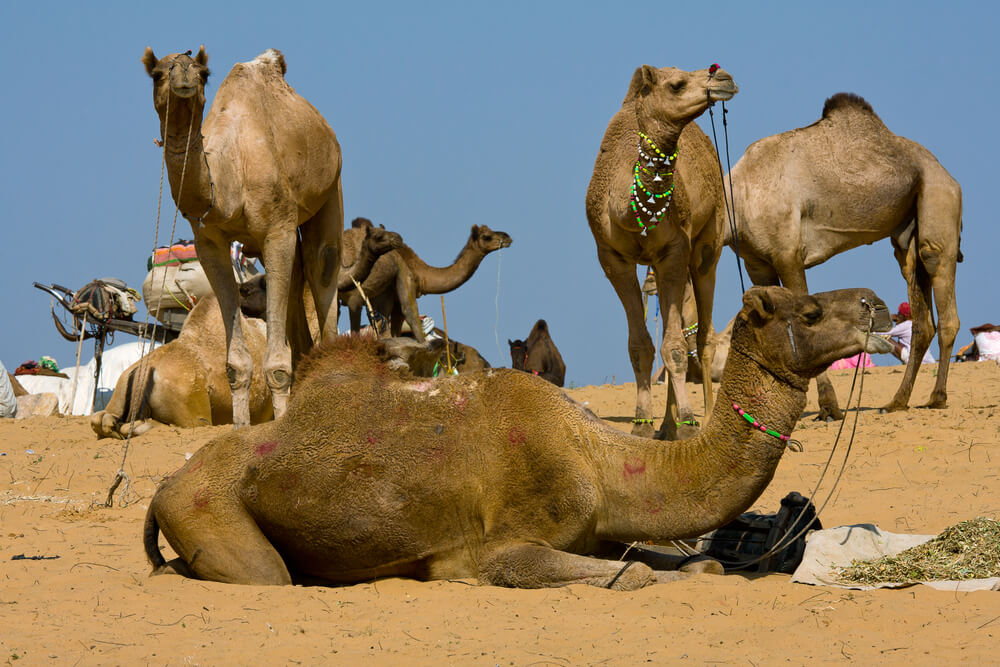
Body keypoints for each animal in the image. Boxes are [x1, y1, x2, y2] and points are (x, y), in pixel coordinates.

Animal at [142, 46, 343, 427]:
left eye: (203, 73)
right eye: (157, 73)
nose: (184, 75)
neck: (229, 180)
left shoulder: (278, 229)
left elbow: (277, 365)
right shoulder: (209, 243)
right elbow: (235, 365)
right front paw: (240, 427)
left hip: (330, 193)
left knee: (322, 267)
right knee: (297, 288)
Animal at [143, 286, 892, 589]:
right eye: (809, 310)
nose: (879, 305)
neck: (599, 457)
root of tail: (162, 485)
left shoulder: (601, 528)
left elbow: (686, 563)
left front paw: (697, 566)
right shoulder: (501, 546)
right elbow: (632, 576)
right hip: (210, 510)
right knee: (261, 572)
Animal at [586, 64, 738, 440]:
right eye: (677, 85)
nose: (724, 78)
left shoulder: (674, 250)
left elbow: (675, 347)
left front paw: (688, 423)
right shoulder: (612, 259)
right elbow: (640, 345)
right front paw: (642, 425)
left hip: (708, 243)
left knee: (703, 334)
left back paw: (704, 418)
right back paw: (667, 426)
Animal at [726, 92, 963, 418]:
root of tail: (949, 177)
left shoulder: (788, 255)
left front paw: (829, 407)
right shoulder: (756, 263)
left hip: (938, 201)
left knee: (941, 286)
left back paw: (937, 397)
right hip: (906, 234)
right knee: (922, 317)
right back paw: (896, 402)